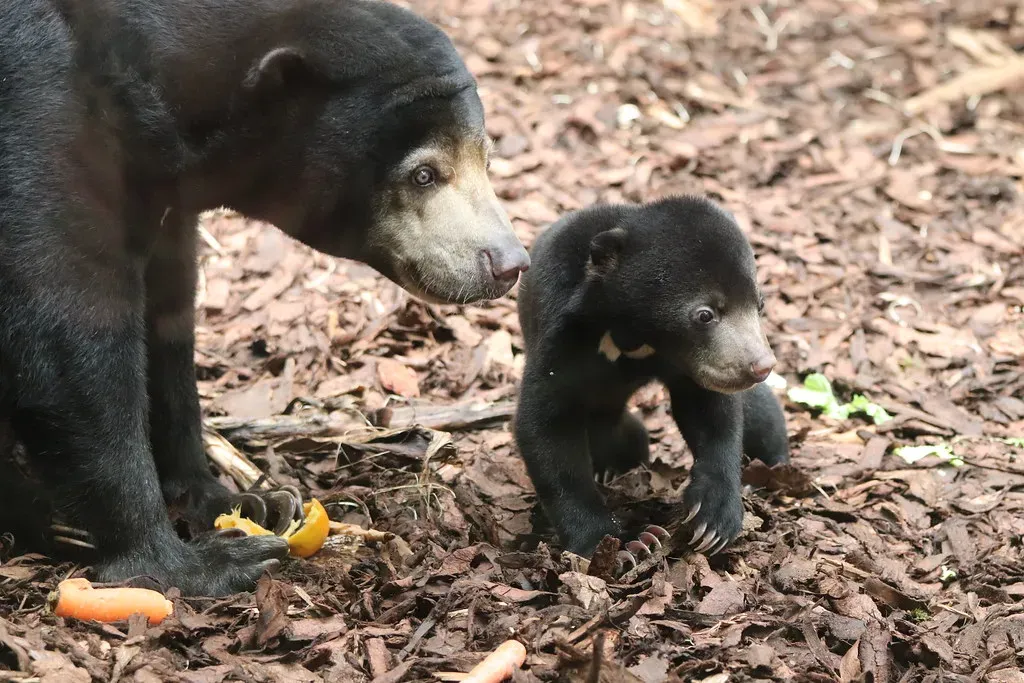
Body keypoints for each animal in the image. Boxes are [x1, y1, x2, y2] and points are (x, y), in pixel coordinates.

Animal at [0, 0, 529, 597]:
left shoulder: (163, 204)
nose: (510, 264)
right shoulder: (40, 117)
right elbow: (67, 331)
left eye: (487, 159)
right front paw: (195, 561)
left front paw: (239, 500)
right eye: (423, 174)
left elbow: (167, 323)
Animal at [512, 195, 789, 565]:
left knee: (760, 416)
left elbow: (712, 413)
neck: (632, 335)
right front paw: (625, 544)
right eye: (704, 315)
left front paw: (712, 521)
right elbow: (547, 425)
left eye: (760, 304)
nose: (761, 366)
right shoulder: (560, 338)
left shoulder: (692, 366)